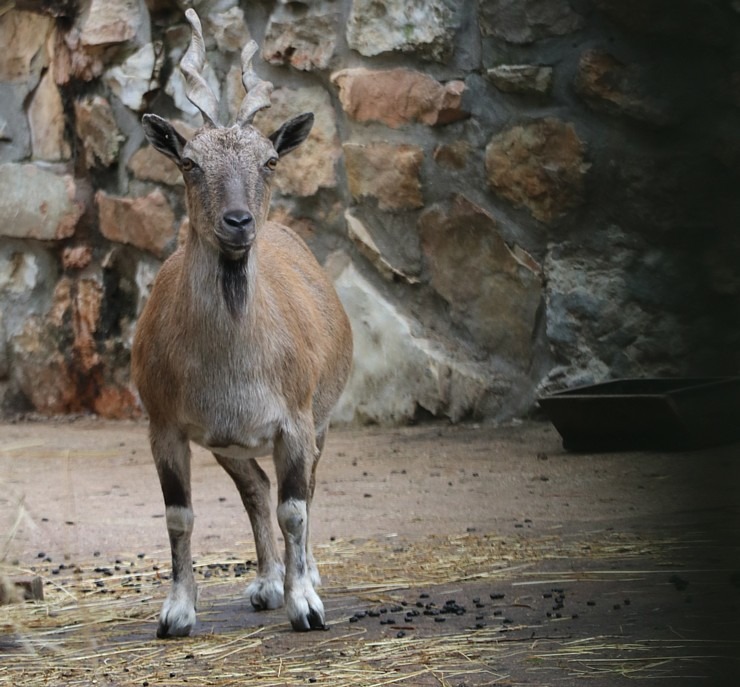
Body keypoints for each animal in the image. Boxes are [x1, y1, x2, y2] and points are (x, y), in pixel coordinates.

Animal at [130, 9, 352, 640]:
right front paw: (177, 612)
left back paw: (303, 575)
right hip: (226, 443)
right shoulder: (167, 428)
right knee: (254, 486)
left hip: (320, 418)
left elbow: (295, 508)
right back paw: (266, 582)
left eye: (269, 161)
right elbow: (179, 515)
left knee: (300, 489)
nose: (238, 221)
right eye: (190, 162)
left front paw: (307, 606)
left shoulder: (296, 421)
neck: (231, 359)